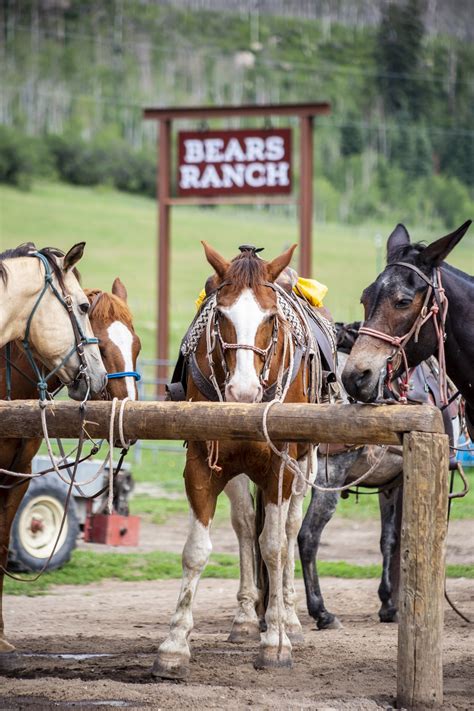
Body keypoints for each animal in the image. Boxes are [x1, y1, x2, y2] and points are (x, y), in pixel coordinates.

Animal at [153, 243, 334, 680]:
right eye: (221, 315)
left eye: (270, 318)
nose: (243, 391)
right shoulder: (202, 463)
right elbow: (197, 550)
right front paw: (174, 645)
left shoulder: (280, 467)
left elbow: (274, 546)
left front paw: (276, 644)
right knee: (245, 523)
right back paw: (247, 619)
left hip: (303, 464)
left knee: (289, 529)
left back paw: (289, 619)